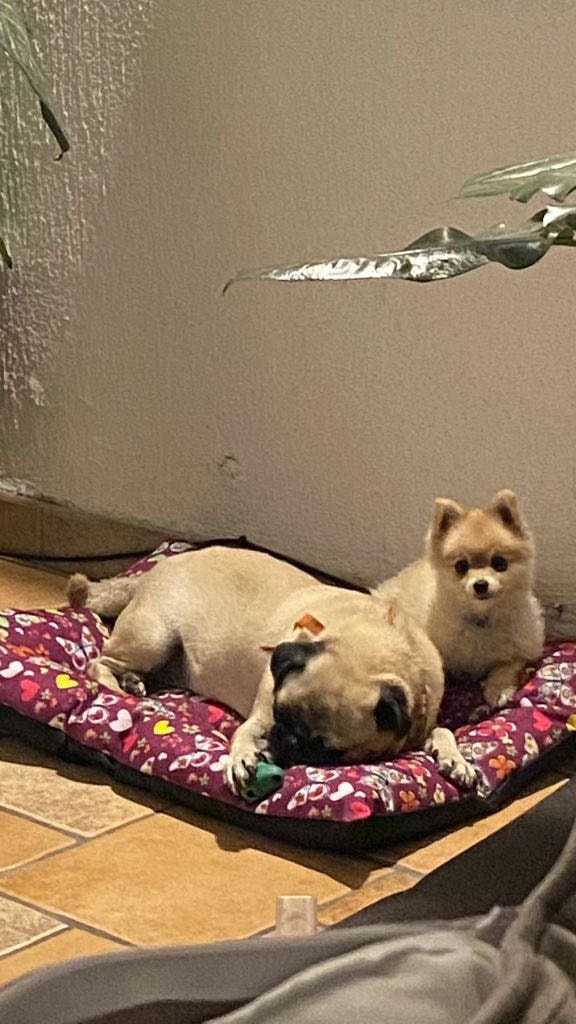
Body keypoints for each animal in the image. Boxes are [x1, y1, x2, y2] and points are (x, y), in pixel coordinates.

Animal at [67, 545, 469, 793]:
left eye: (327, 750)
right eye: (281, 714)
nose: (286, 741)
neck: (375, 643)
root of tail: (158, 567)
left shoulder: (423, 721)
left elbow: (443, 731)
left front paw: (455, 759)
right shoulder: (261, 713)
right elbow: (244, 732)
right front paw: (241, 758)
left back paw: (133, 682)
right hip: (153, 638)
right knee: (99, 661)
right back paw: (118, 689)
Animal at [375, 490, 544, 769]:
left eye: (499, 563)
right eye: (461, 566)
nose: (480, 584)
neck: (480, 620)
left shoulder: (525, 646)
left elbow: (507, 665)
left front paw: (498, 690)